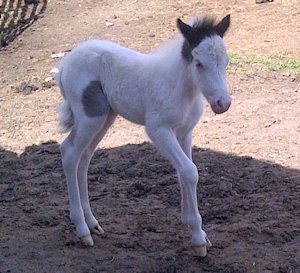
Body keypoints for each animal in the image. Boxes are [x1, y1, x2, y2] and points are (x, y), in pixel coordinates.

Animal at [56, 13, 232, 256]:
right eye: (198, 63)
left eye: (226, 61)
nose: (222, 104)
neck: (181, 89)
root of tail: (65, 63)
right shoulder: (159, 130)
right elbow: (189, 171)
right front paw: (198, 238)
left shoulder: (184, 133)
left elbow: (183, 172)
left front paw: (194, 227)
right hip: (90, 117)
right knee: (70, 153)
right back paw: (82, 230)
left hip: (105, 117)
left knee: (85, 157)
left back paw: (92, 223)